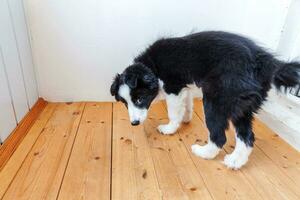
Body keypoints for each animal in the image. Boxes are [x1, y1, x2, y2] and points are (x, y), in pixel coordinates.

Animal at [110, 30, 300, 169]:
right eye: (125, 103)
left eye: (139, 99)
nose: (134, 123)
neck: (151, 66)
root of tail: (267, 62)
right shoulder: (184, 88)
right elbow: (187, 105)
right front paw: (186, 120)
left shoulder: (173, 88)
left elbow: (173, 112)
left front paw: (170, 129)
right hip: (242, 105)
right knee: (247, 137)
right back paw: (235, 162)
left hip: (215, 100)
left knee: (220, 137)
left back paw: (203, 153)